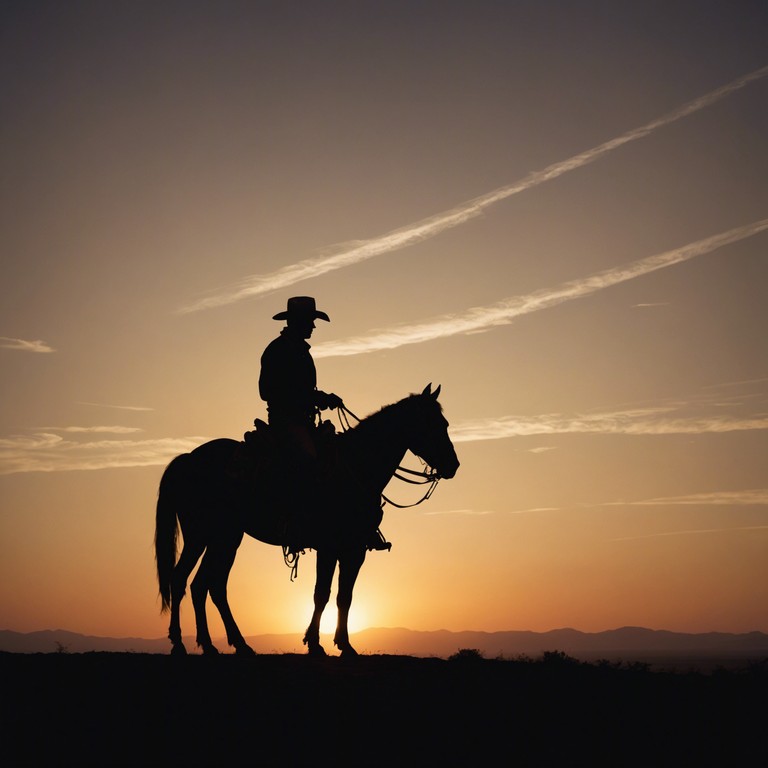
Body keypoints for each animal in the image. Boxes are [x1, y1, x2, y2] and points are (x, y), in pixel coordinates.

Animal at [153, 388, 460, 656]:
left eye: (445, 422)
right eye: (434, 423)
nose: (453, 465)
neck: (355, 467)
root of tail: (189, 458)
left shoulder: (354, 549)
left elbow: (344, 597)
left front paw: (344, 645)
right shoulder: (329, 547)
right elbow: (322, 594)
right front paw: (315, 643)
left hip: (222, 538)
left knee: (203, 585)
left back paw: (220, 645)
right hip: (207, 536)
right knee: (188, 581)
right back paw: (184, 643)